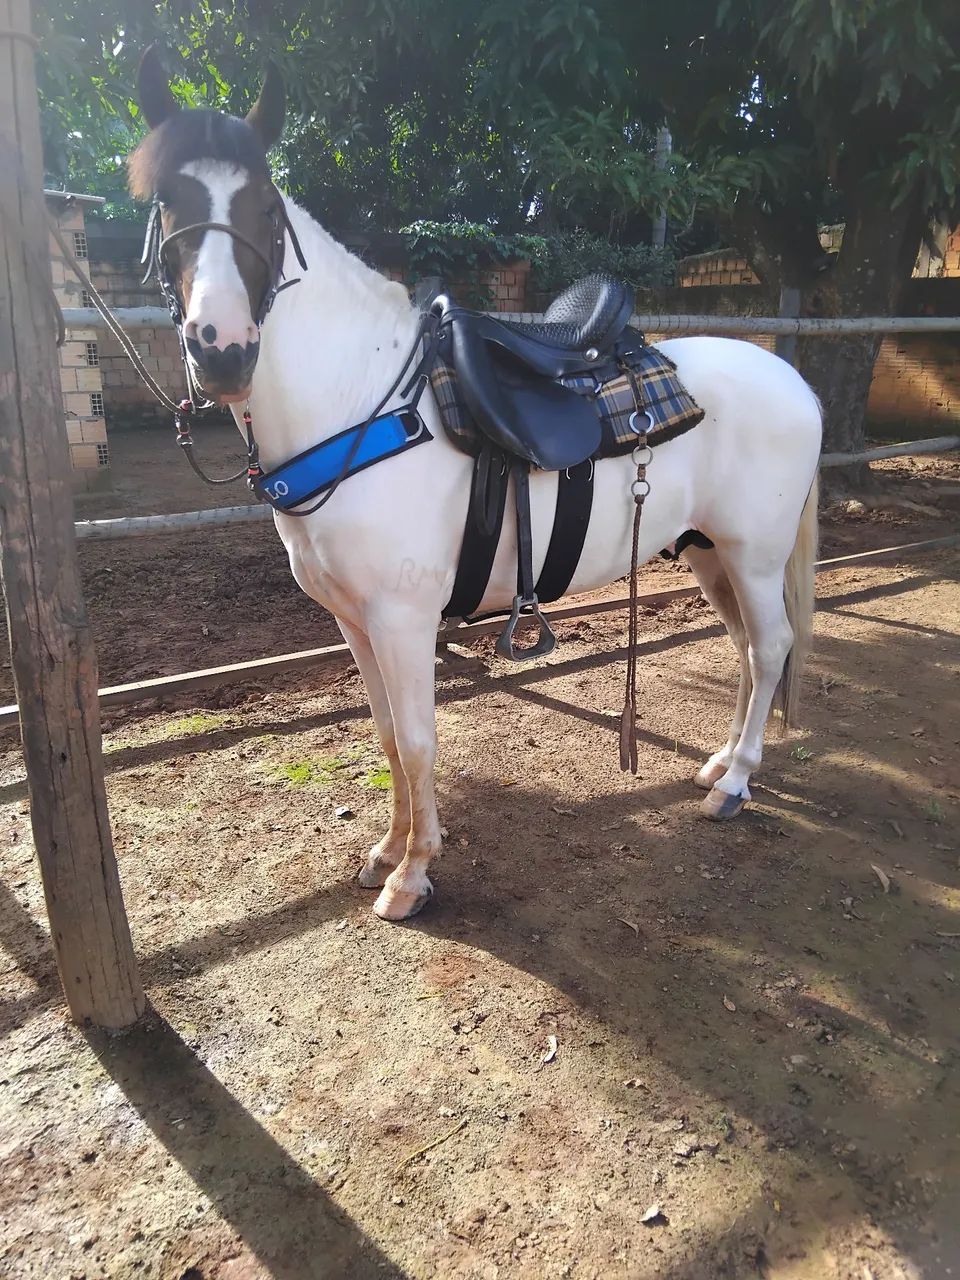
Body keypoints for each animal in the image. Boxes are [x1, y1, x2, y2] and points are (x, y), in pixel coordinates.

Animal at [128, 51, 822, 922]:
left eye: (263, 205)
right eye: (167, 201)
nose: (222, 350)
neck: (362, 403)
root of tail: (794, 380)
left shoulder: (401, 619)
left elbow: (418, 740)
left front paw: (413, 875)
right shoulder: (353, 621)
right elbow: (387, 736)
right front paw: (385, 851)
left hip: (754, 557)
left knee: (771, 648)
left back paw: (735, 783)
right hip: (707, 554)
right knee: (745, 651)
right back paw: (720, 762)